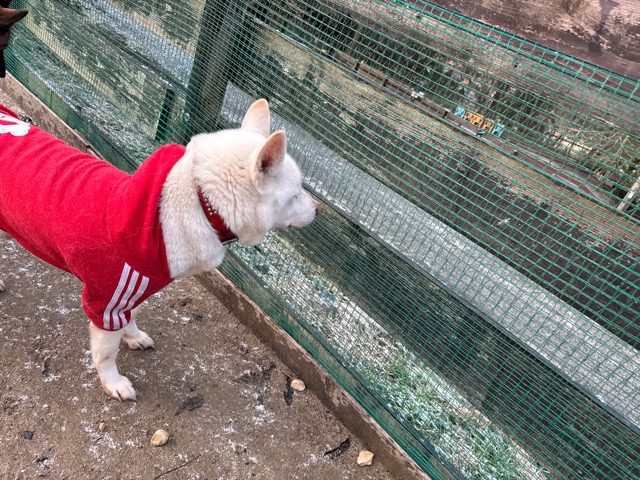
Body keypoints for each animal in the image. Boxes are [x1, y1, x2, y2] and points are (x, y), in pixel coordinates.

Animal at [0, 95, 319, 400]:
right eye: (294, 196)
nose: (317, 209)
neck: (197, 207)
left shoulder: (132, 292)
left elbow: (131, 318)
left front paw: (132, 336)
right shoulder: (106, 300)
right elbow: (106, 352)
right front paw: (113, 382)